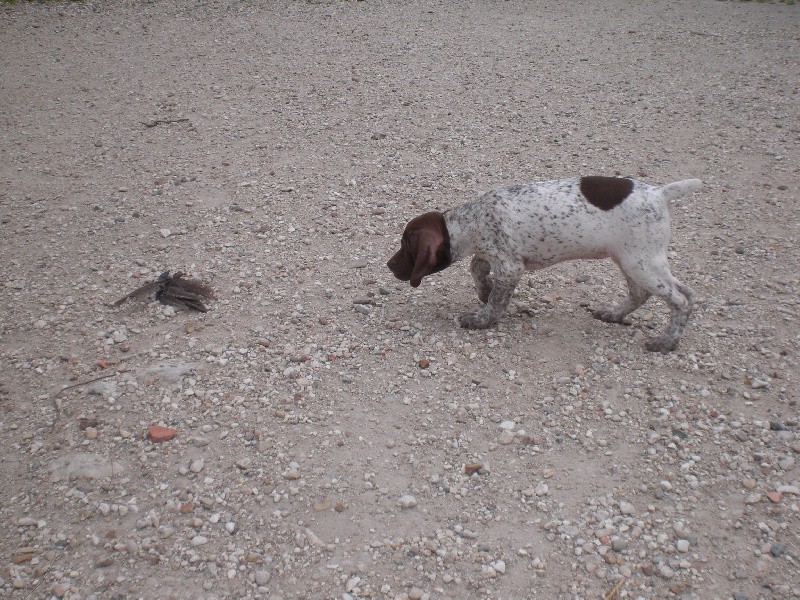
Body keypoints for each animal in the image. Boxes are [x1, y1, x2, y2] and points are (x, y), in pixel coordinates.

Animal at [388, 176, 700, 352]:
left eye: (406, 247)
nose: (389, 265)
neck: (471, 219)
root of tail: (660, 193)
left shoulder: (511, 265)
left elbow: (495, 298)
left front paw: (482, 318)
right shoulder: (494, 255)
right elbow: (477, 268)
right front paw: (485, 291)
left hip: (640, 262)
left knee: (680, 300)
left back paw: (667, 341)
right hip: (635, 259)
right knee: (658, 293)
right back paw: (614, 314)